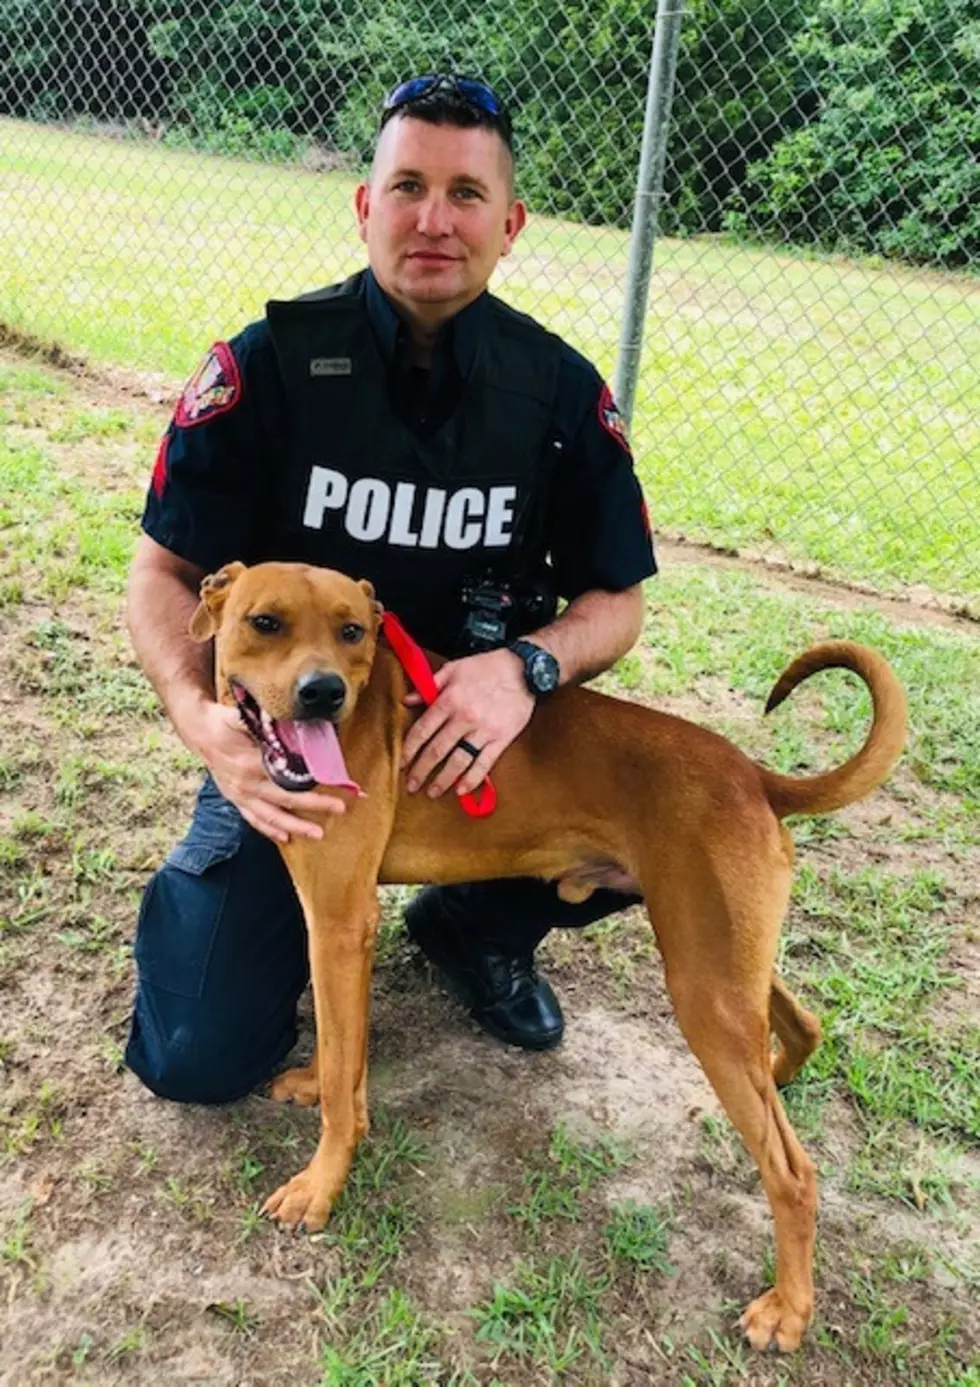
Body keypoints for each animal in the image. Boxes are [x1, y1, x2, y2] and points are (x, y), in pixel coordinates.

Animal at [188, 557, 909, 1348]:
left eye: (352, 631)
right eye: (265, 622)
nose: (324, 692)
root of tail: (754, 775)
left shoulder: (341, 919)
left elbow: (345, 1075)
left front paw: (320, 1184)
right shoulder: (333, 927)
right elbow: (339, 1042)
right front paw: (320, 1082)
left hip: (703, 989)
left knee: (793, 1171)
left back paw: (789, 1306)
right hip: (721, 964)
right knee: (802, 1024)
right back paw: (776, 1078)